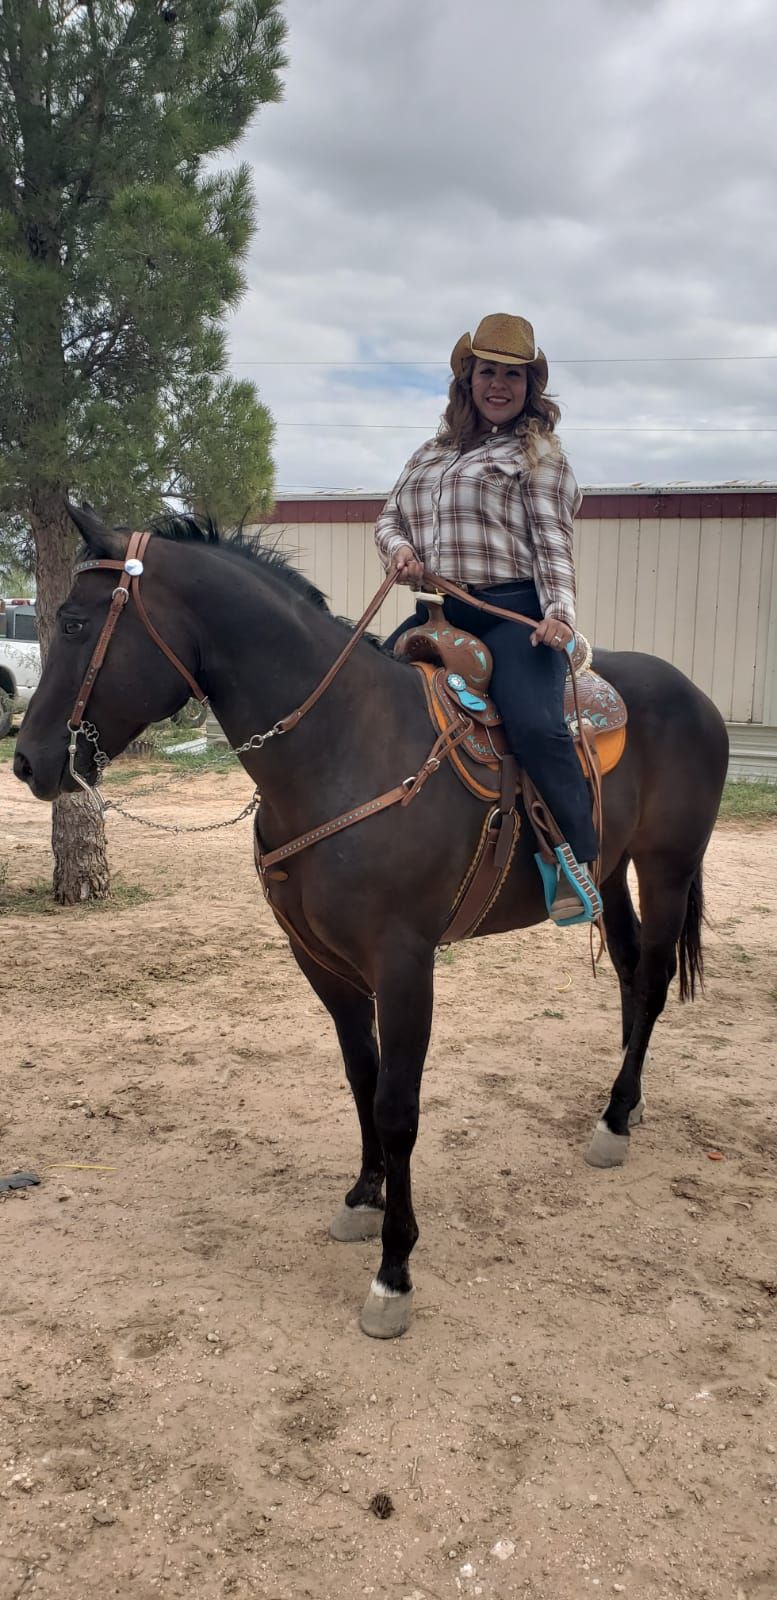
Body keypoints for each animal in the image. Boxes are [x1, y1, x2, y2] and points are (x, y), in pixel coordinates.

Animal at [14, 505, 729, 1339]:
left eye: (71, 621)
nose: (27, 762)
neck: (340, 746)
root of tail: (695, 697)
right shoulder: (320, 960)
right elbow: (361, 1074)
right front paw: (364, 1195)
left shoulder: (404, 963)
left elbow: (397, 1106)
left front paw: (395, 1271)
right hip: (611, 871)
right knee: (625, 970)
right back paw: (628, 1098)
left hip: (667, 865)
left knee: (650, 981)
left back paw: (613, 1121)